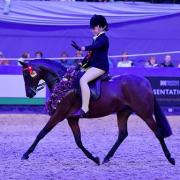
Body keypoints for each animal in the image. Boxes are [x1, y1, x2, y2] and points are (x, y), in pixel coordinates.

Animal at [19, 59, 175, 166]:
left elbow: (42, 133)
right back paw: (106, 157)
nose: (29, 94)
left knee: (157, 132)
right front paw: (94, 158)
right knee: (123, 134)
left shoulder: (59, 115)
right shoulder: (72, 118)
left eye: (27, 75)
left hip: (144, 113)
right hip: (123, 112)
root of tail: (146, 82)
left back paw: (170, 158)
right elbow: (78, 141)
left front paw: (26, 154)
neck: (63, 82)